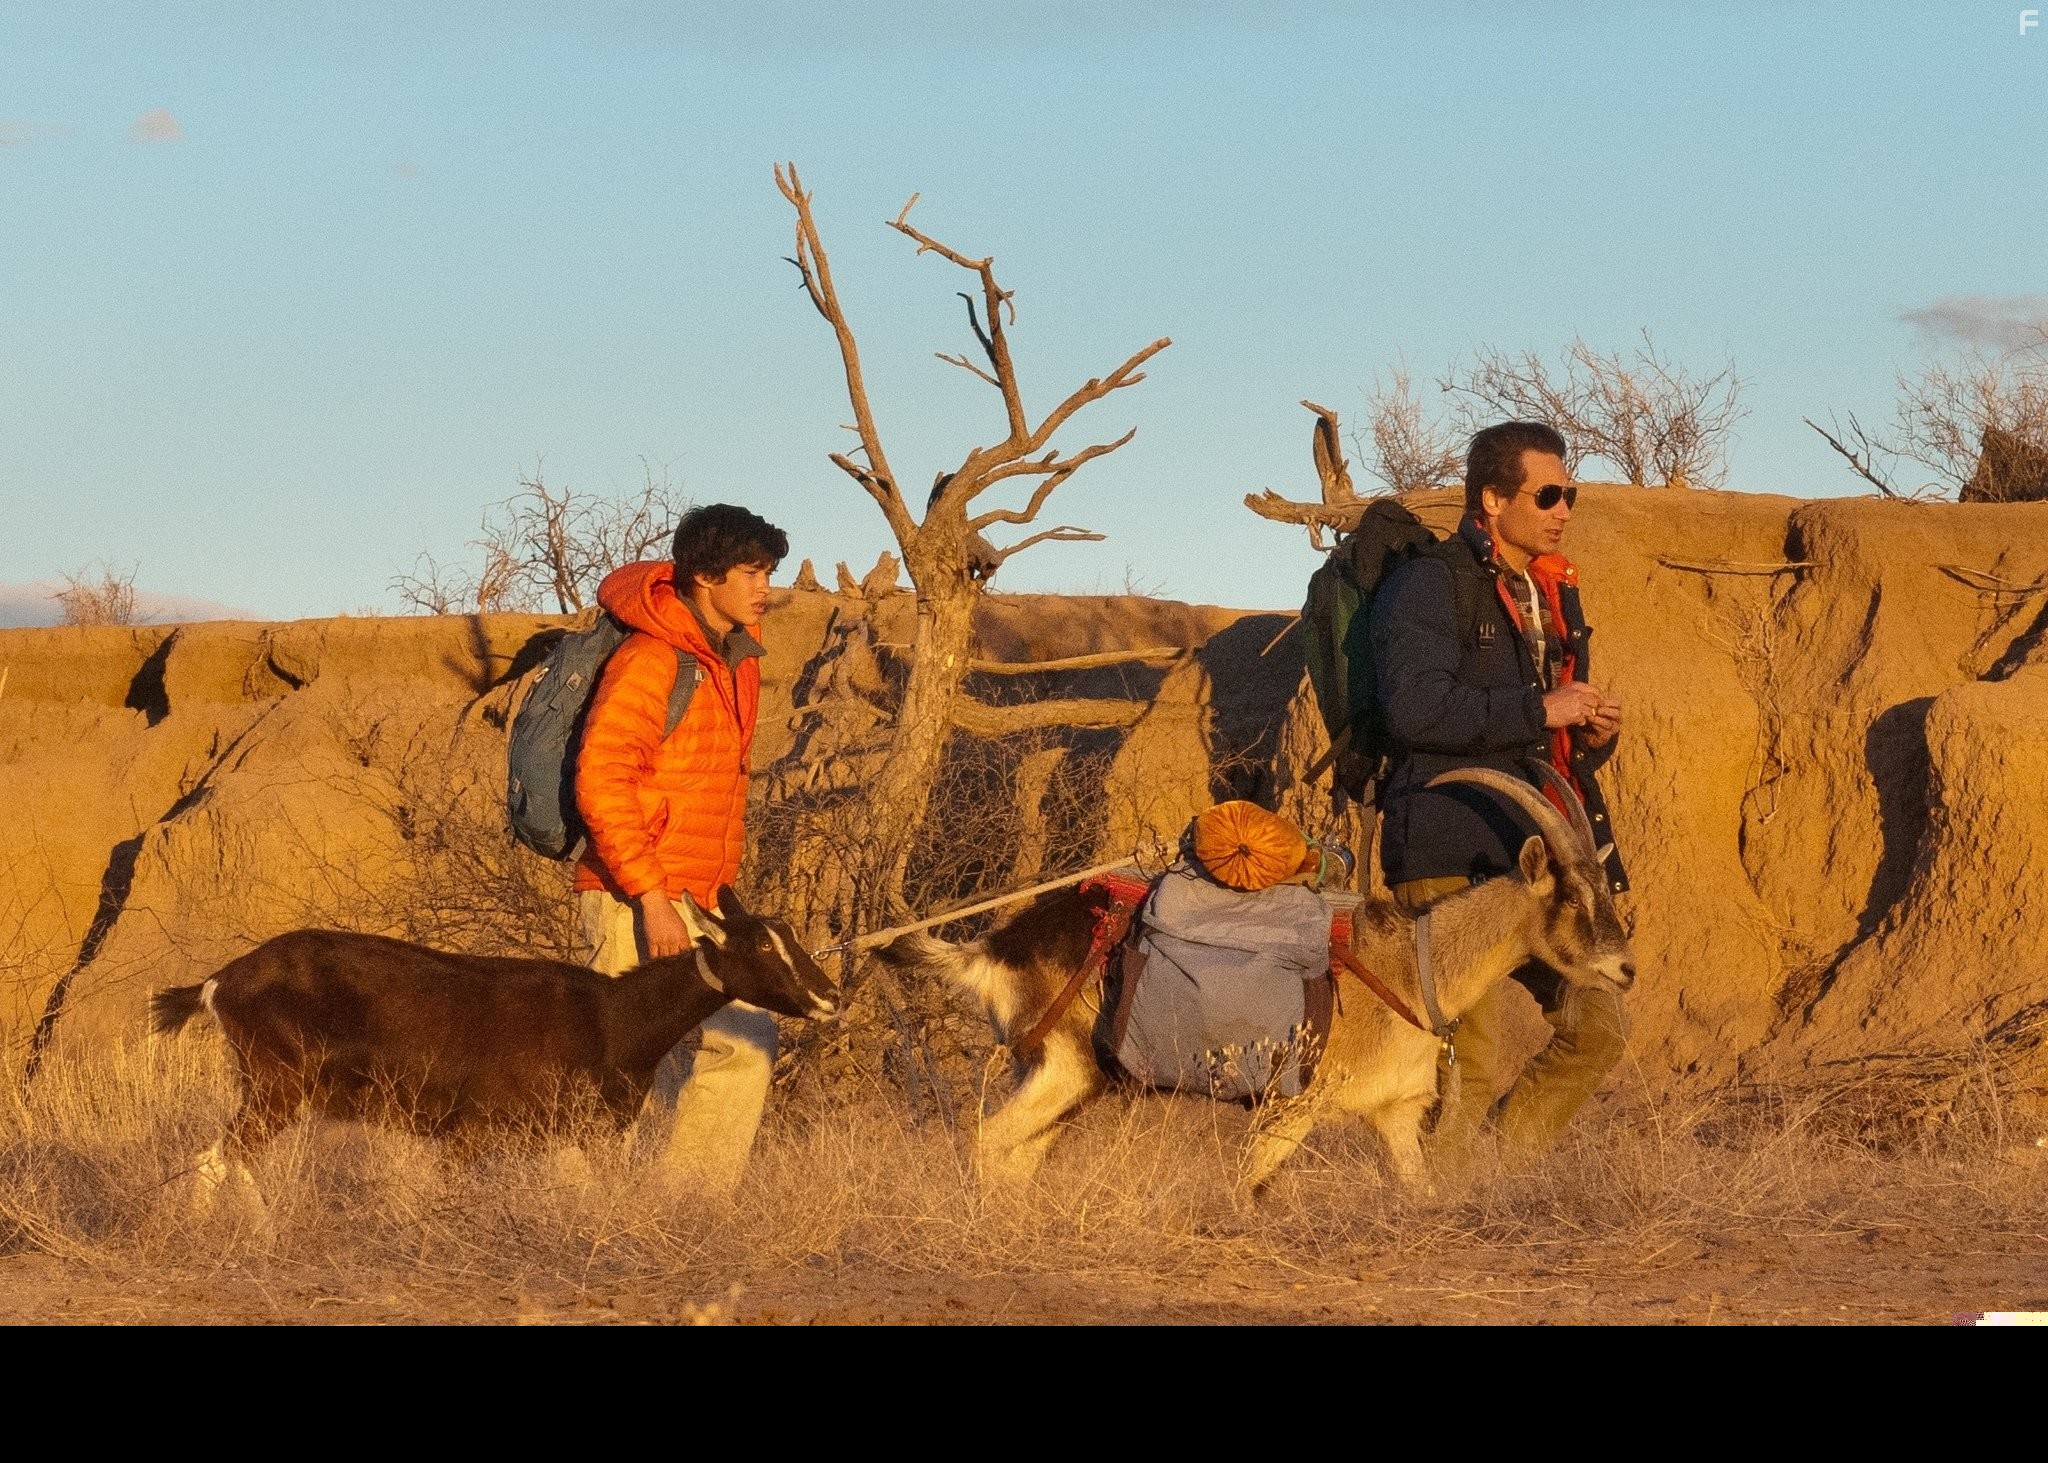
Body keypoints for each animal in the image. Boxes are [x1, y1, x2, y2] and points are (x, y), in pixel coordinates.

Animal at [151, 887, 838, 1202]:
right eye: (762, 943)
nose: (830, 995)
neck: (612, 1019)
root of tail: (219, 983)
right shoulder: (472, 1132)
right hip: (277, 1086)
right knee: (221, 1158)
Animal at [879, 765, 1635, 1191]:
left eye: (1604, 889)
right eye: (1574, 898)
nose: (1625, 968)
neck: (1414, 967)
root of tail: (993, 949)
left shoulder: (1393, 1115)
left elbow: (1418, 1194)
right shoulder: (1291, 1108)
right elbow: (1245, 1188)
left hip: (1055, 1078)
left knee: (1017, 1156)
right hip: (1066, 1068)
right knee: (986, 1142)